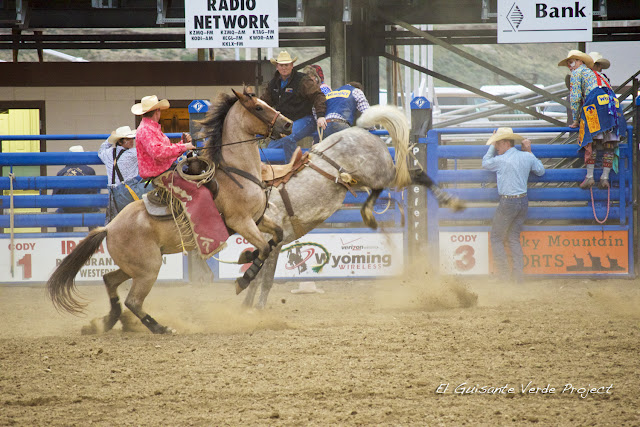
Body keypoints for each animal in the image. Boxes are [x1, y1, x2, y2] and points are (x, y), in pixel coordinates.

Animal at [47, 87, 292, 334]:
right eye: (258, 107)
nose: (288, 123)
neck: (237, 172)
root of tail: (109, 227)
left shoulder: (257, 219)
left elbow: (277, 236)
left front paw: (246, 255)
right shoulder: (241, 222)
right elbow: (263, 247)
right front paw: (244, 277)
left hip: (133, 267)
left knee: (110, 280)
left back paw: (109, 321)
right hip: (148, 269)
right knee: (133, 300)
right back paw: (160, 328)